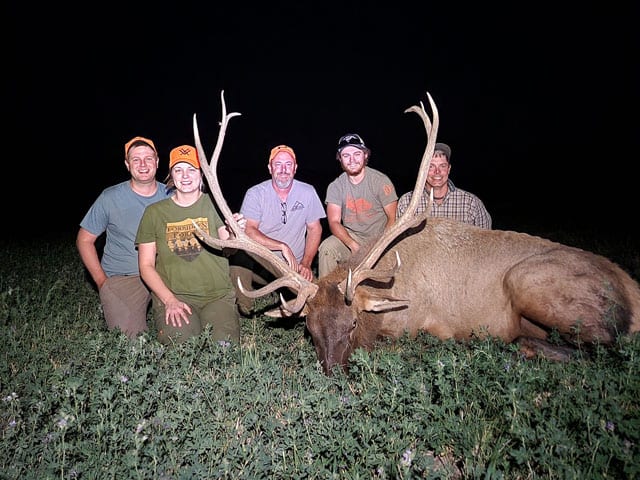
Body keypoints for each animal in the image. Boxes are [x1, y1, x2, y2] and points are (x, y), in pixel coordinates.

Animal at [193, 91, 640, 376]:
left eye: (352, 323)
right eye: (310, 329)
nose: (333, 372)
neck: (394, 289)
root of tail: (631, 289)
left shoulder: (424, 325)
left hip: (531, 282)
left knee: (606, 348)